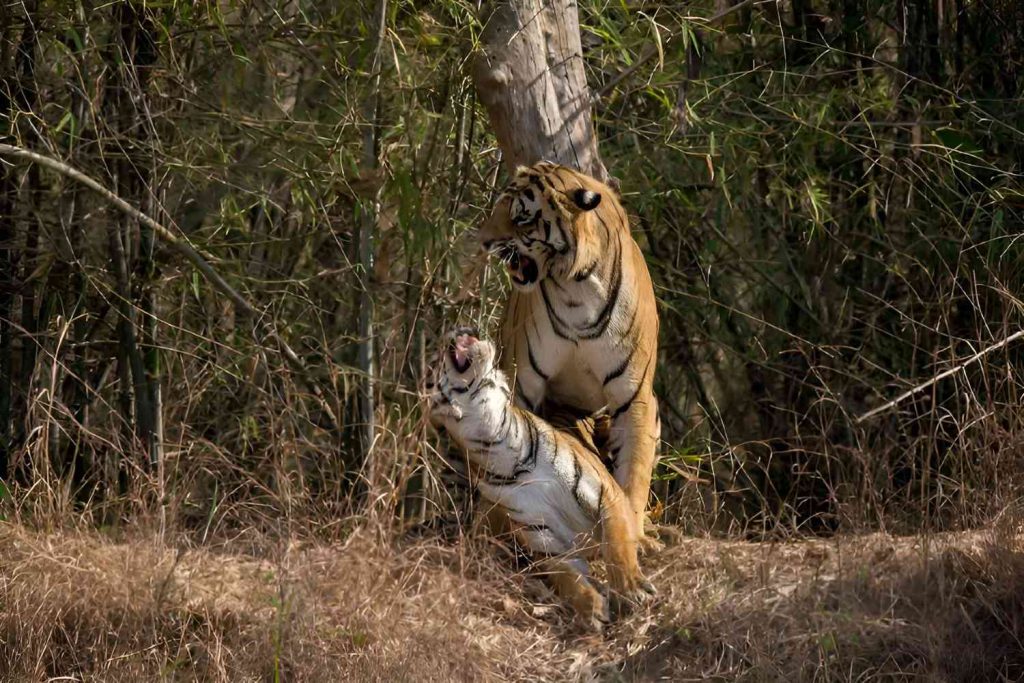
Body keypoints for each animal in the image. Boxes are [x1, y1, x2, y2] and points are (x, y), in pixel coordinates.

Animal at [424, 327, 656, 629]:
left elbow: (618, 546)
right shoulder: (544, 538)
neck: (499, 442)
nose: (454, 330)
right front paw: (590, 608)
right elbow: (567, 577)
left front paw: (631, 589)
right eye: (433, 362)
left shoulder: (608, 493)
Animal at [477, 162, 661, 547]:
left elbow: (634, 471)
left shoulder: (633, 395)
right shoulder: (521, 384)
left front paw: (637, 535)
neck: (578, 286)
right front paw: (494, 521)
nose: (483, 241)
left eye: (521, 217)